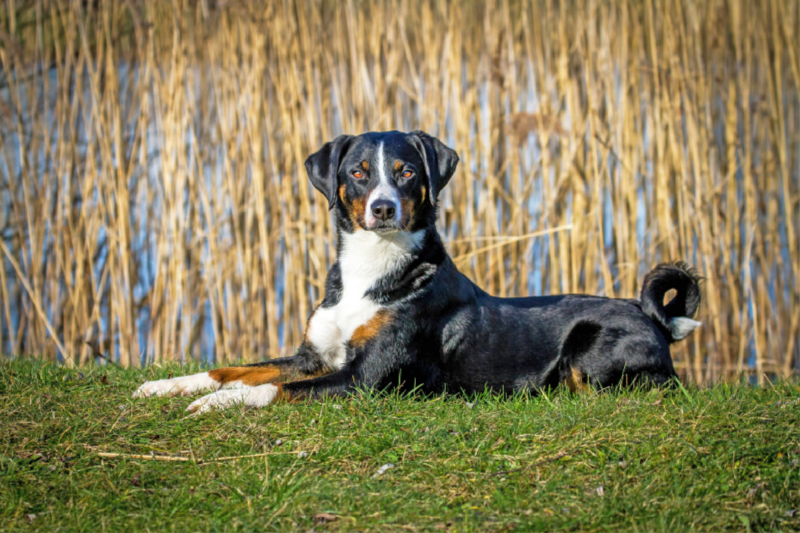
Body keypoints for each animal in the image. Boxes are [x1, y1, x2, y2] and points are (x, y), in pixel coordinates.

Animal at [134, 129, 704, 412]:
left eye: (406, 171)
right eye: (359, 172)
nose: (384, 207)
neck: (371, 269)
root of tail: (654, 318)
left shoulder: (363, 379)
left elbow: (271, 389)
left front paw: (217, 404)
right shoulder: (311, 356)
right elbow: (237, 367)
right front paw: (169, 385)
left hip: (590, 349)